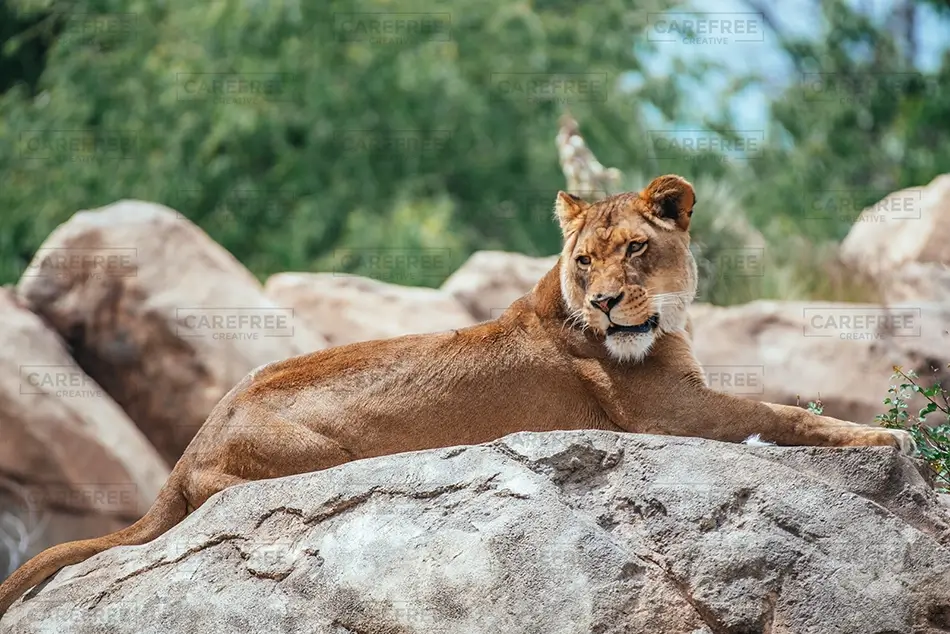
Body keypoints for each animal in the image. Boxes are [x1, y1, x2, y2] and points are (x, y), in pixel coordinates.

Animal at [0, 174, 913, 617]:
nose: (604, 303)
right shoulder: (670, 414)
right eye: (585, 260)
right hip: (315, 451)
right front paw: (887, 439)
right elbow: (785, 413)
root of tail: (187, 448)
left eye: (633, 251)